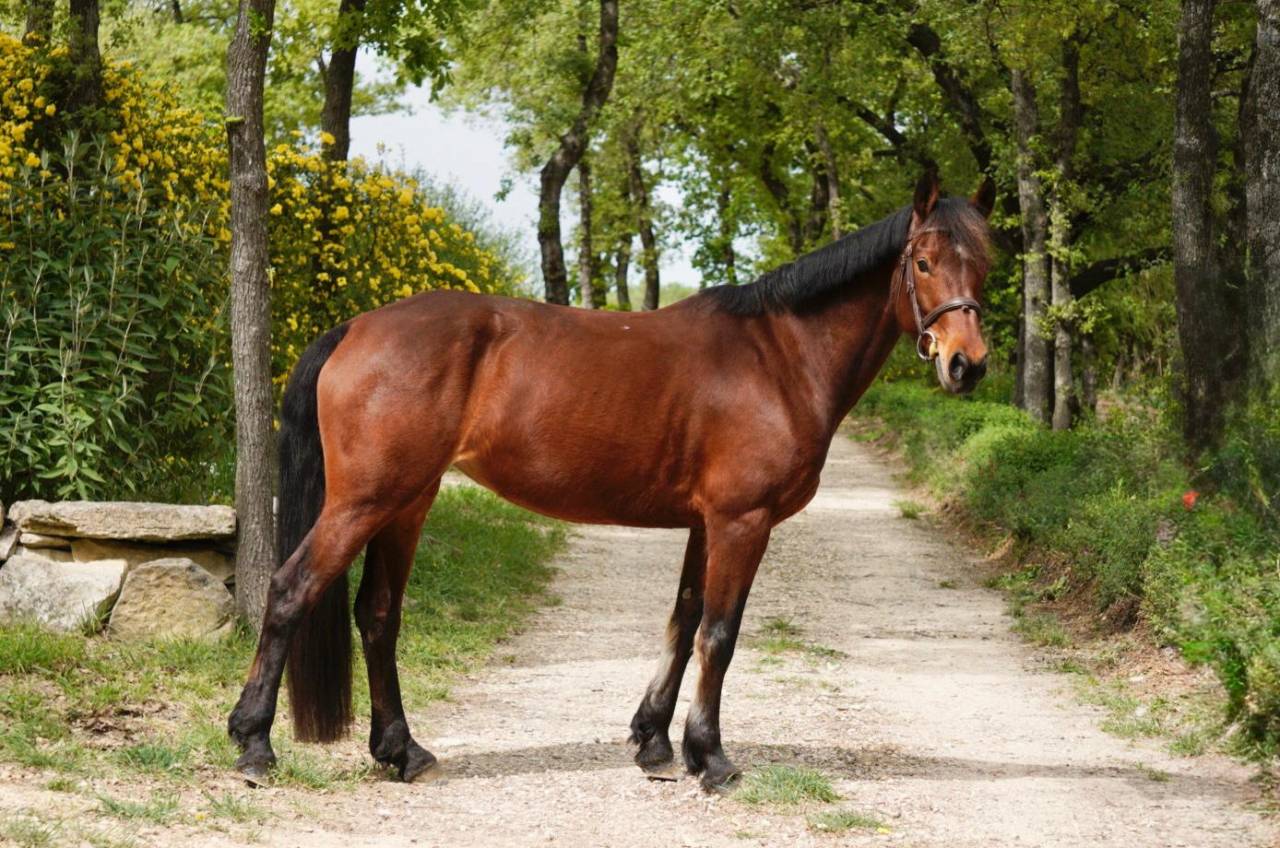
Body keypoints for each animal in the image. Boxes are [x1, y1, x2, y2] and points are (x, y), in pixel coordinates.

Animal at [227, 171, 995, 791]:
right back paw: (254, 745)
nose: (968, 364)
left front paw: (655, 740)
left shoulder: (705, 523)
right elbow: (720, 633)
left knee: (378, 615)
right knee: (291, 591)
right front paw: (712, 758)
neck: (778, 356)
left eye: (984, 264)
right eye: (923, 261)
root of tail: (357, 327)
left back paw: (401, 752)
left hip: (408, 502)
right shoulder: (741, 520)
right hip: (364, 500)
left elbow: (684, 620)